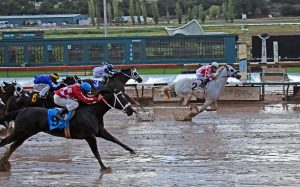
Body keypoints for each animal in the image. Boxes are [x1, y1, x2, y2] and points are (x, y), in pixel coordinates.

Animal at [0, 87, 135, 172]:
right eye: (122, 98)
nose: (131, 110)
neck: (92, 112)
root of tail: (20, 111)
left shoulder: (101, 132)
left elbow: (116, 140)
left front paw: (132, 150)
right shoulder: (90, 137)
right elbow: (96, 152)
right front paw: (104, 167)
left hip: (25, 134)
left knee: (13, 146)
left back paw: (5, 163)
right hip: (19, 132)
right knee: (4, 142)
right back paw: (3, 163)